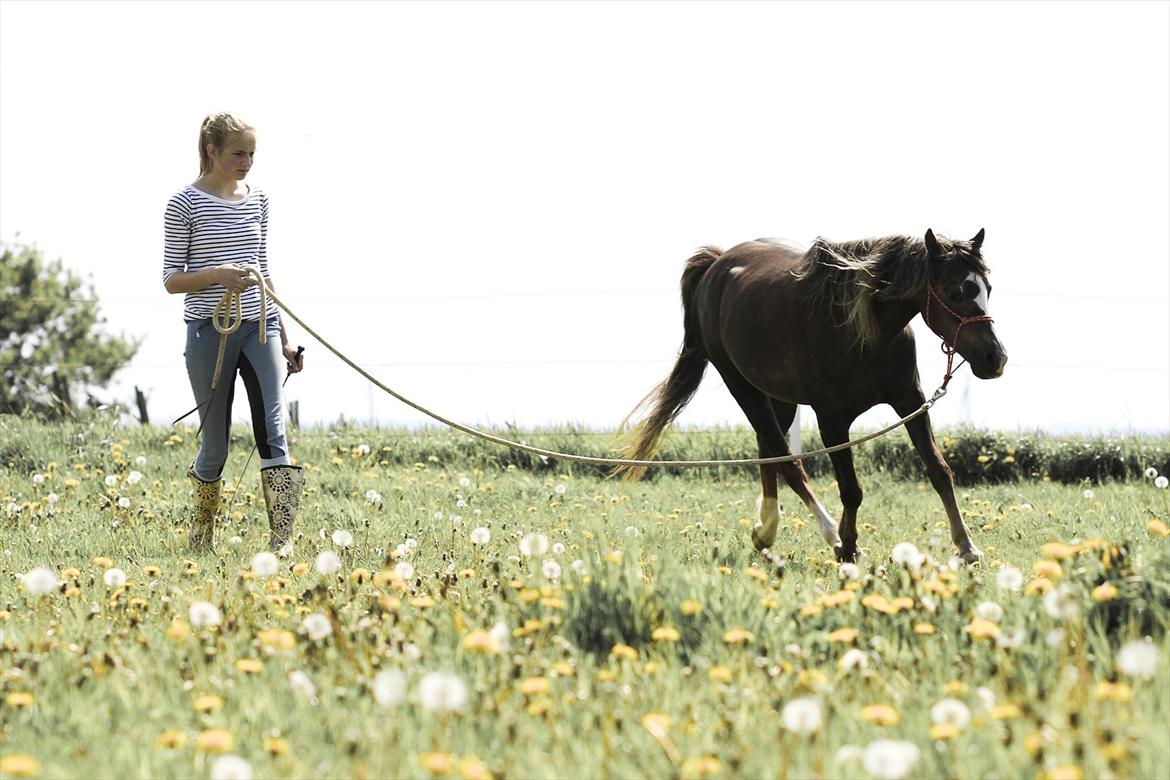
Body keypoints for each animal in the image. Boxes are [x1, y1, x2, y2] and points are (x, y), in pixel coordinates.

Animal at [619, 229, 1007, 564]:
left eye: (986, 288)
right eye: (956, 292)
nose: (995, 358)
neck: (863, 329)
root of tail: (717, 264)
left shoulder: (910, 400)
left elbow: (939, 471)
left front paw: (967, 546)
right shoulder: (831, 419)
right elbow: (850, 489)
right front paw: (848, 546)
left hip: (779, 397)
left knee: (769, 451)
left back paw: (765, 531)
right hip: (742, 387)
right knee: (788, 462)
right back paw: (820, 534)